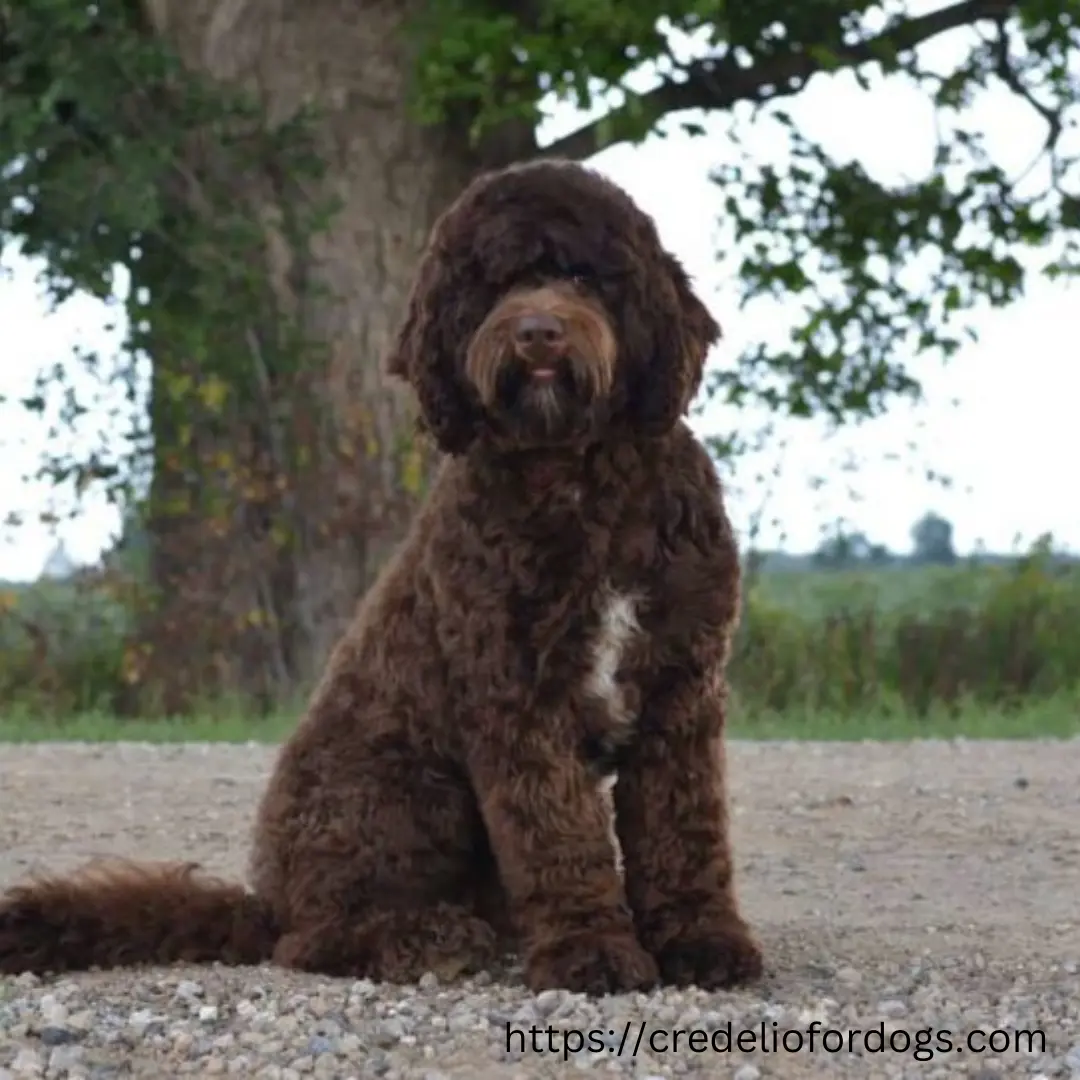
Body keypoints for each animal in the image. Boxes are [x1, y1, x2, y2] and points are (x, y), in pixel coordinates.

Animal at [0, 159, 764, 993]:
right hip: (400, 787)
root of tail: (270, 899)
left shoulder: (681, 688)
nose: (536, 332)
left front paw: (701, 939)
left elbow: (683, 829)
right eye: (493, 287)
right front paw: (589, 950)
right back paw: (424, 937)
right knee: (314, 938)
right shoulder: (519, 698)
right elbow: (559, 836)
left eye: (581, 276)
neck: (578, 475)